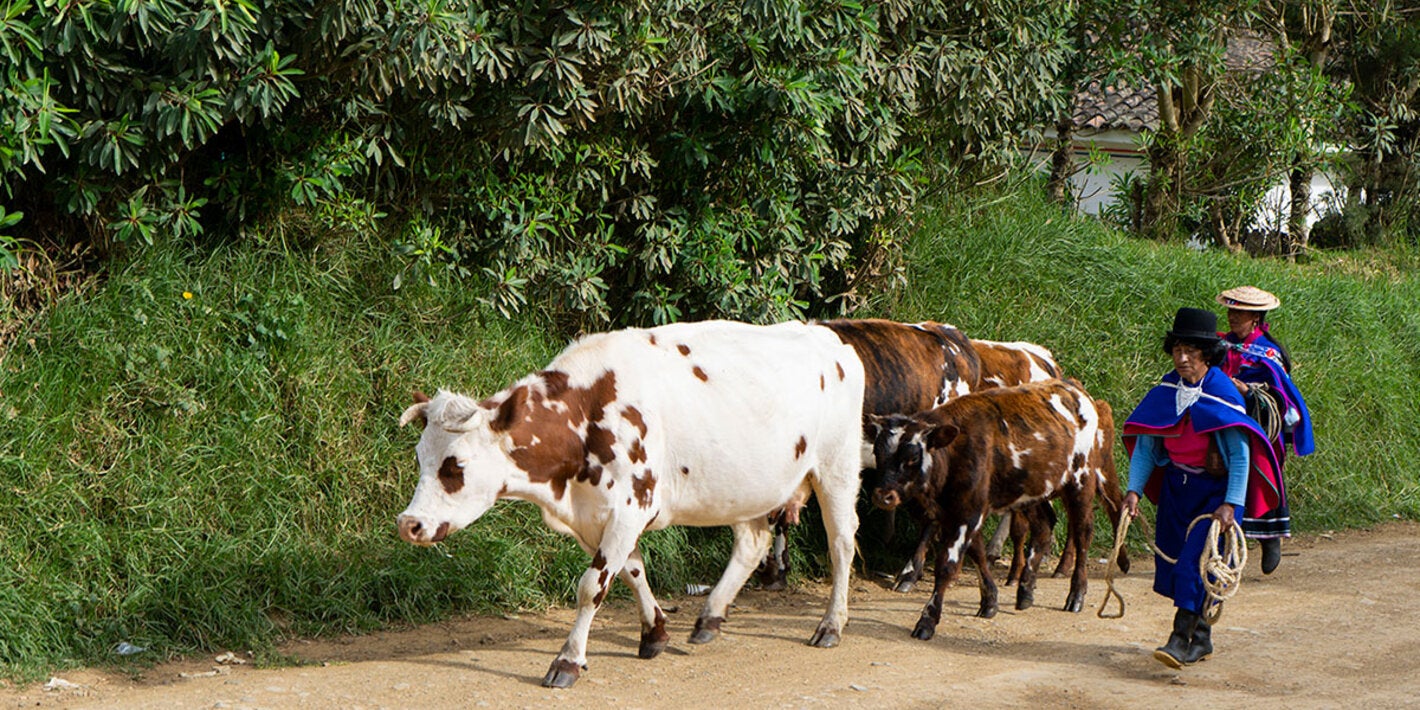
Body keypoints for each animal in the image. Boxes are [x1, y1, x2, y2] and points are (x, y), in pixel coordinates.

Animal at [396, 320, 866, 688]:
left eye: (455, 465)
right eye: (419, 457)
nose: (408, 524)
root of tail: (829, 338)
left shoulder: (628, 507)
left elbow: (591, 587)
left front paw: (567, 661)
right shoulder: (597, 517)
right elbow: (631, 571)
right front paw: (654, 632)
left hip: (837, 468)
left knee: (841, 544)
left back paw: (830, 625)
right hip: (745, 487)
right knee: (752, 543)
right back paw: (710, 617)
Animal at [868, 379, 1115, 640]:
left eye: (913, 458)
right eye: (877, 453)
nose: (883, 495)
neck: (955, 452)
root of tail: (1072, 385)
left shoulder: (967, 514)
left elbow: (947, 565)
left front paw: (927, 620)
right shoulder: (961, 511)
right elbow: (977, 554)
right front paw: (989, 600)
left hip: (1081, 482)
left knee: (1082, 534)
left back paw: (1076, 594)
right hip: (1032, 492)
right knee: (1044, 525)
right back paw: (1025, 590)